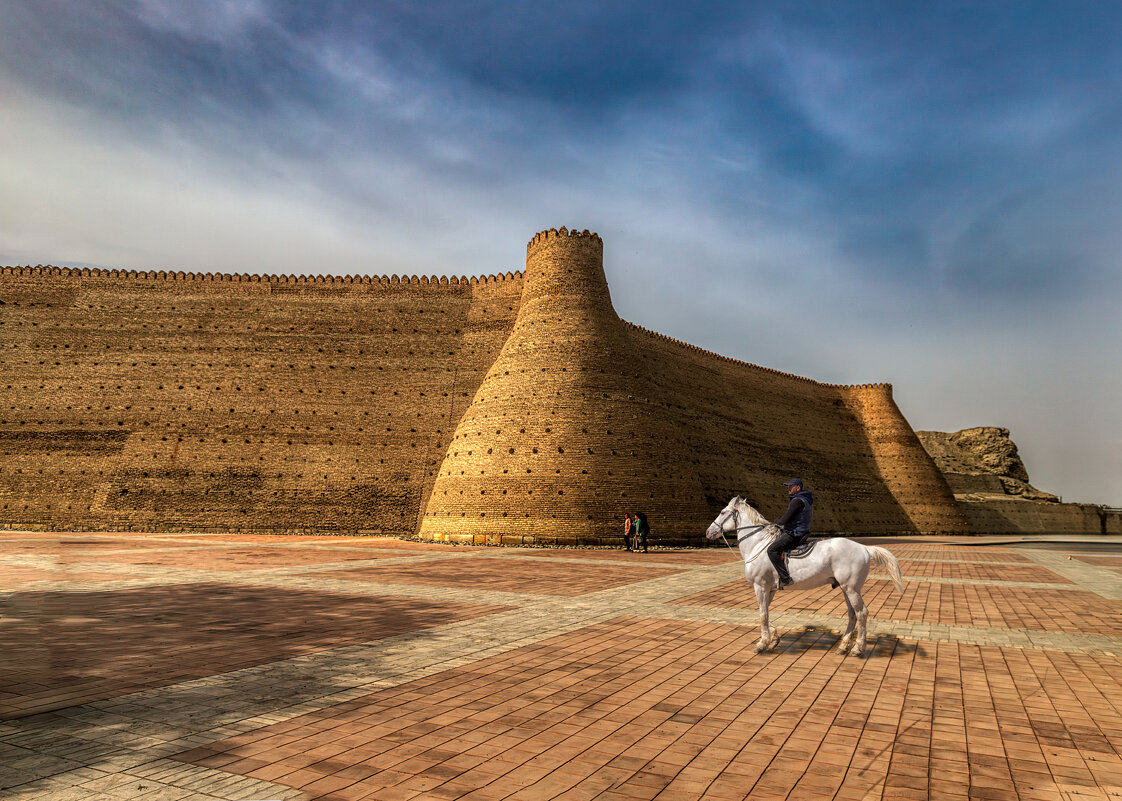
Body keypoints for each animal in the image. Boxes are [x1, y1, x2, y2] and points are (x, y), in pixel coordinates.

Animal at [709, 493, 902, 655]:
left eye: (722, 512)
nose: (709, 532)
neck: (758, 544)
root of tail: (864, 548)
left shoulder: (760, 586)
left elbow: (763, 615)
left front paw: (762, 644)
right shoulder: (769, 588)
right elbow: (765, 612)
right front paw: (774, 638)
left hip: (851, 588)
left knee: (861, 613)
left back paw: (857, 648)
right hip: (847, 588)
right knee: (852, 614)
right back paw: (843, 646)